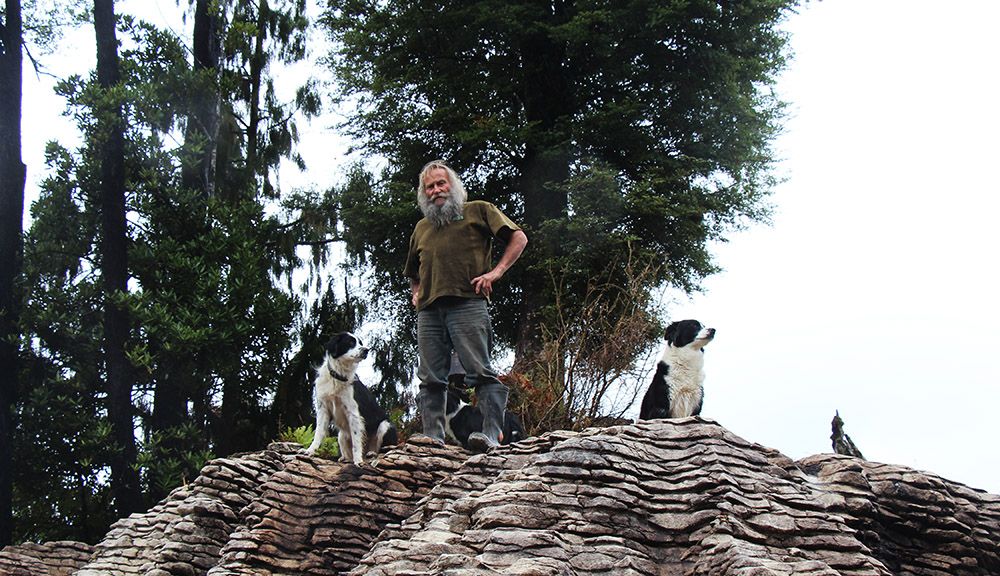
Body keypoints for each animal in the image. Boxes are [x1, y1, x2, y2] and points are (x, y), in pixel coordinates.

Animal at [304, 330, 398, 462]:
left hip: (385, 425)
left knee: (384, 449)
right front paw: (310, 451)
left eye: (360, 343)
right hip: (341, 435)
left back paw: (371, 454)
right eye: (350, 343)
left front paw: (358, 461)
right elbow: (318, 433)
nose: (366, 350)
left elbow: (356, 442)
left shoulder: (353, 414)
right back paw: (345, 458)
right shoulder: (323, 409)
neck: (338, 376)